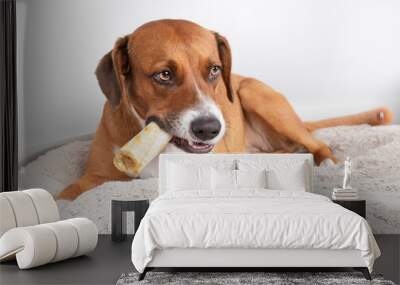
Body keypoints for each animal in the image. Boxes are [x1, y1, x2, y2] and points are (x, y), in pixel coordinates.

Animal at [57, 19, 392, 200]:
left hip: (255, 94)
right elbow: (64, 196)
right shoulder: (94, 177)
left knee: (318, 145)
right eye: (164, 75)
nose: (209, 129)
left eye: (214, 70)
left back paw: (328, 163)